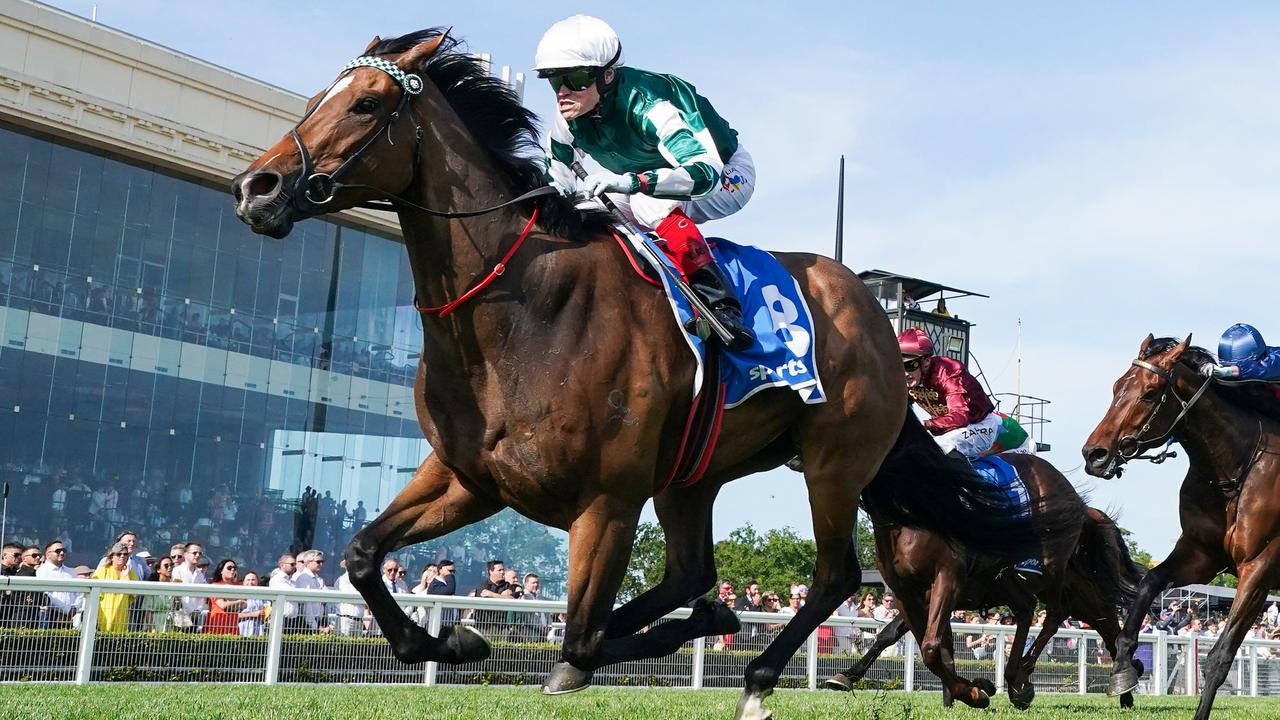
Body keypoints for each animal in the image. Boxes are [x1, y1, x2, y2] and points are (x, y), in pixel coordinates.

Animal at [232, 29, 1059, 717]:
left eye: (367, 104)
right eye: (318, 97)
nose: (256, 188)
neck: (525, 308)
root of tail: (869, 306)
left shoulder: (608, 498)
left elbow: (578, 638)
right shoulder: (470, 476)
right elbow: (364, 555)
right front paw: (451, 640)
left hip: (833, 459)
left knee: (835, 577)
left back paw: (763, 675)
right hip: (694, 474)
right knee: (693, 574)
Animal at [829, 453, 1141, 707]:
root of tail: (1081, 507)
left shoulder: (947, 578)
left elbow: (931, 646)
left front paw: (973, 692)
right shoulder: (910, 594)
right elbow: (895, 635)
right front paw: (846, 675)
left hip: (1056, 568)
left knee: (1056, 615)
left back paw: (1026, 677)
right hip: (1062, 587)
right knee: (1083, 619)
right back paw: (1123, 679)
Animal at [1080, 335, 1280, 717]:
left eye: (1148, 393)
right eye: (1116, 387)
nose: (1094, 454)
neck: (1235, 470)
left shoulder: (1259, 567)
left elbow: (1220, 656)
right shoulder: (1201, 555)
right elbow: (1148, 586)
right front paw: (1124, 670)